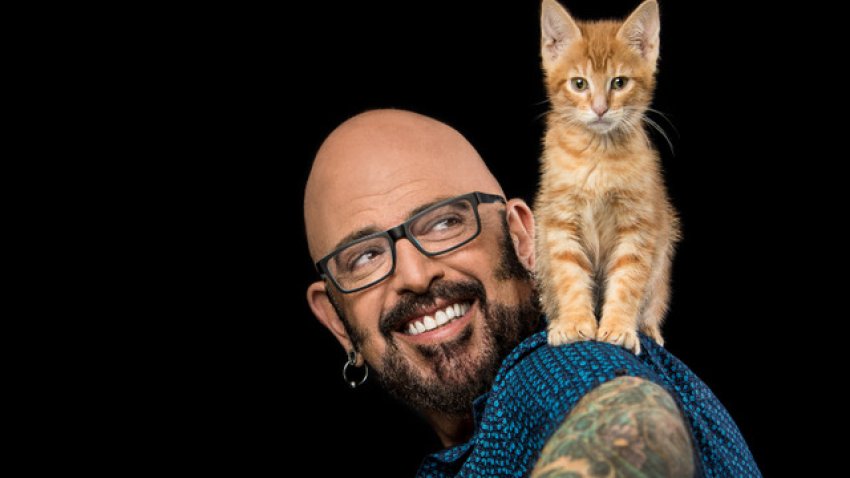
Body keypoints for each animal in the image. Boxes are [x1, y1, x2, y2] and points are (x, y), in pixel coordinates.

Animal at [532, 0, 680, 352]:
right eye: (579, 83)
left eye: (619, 82)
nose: (600, 109)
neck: (597, 157)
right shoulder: (559, 220)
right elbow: (570, 275)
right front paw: (574, 323)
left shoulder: (638, 225)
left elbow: (627, 281)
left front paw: (618, 327)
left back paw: (649, 327)